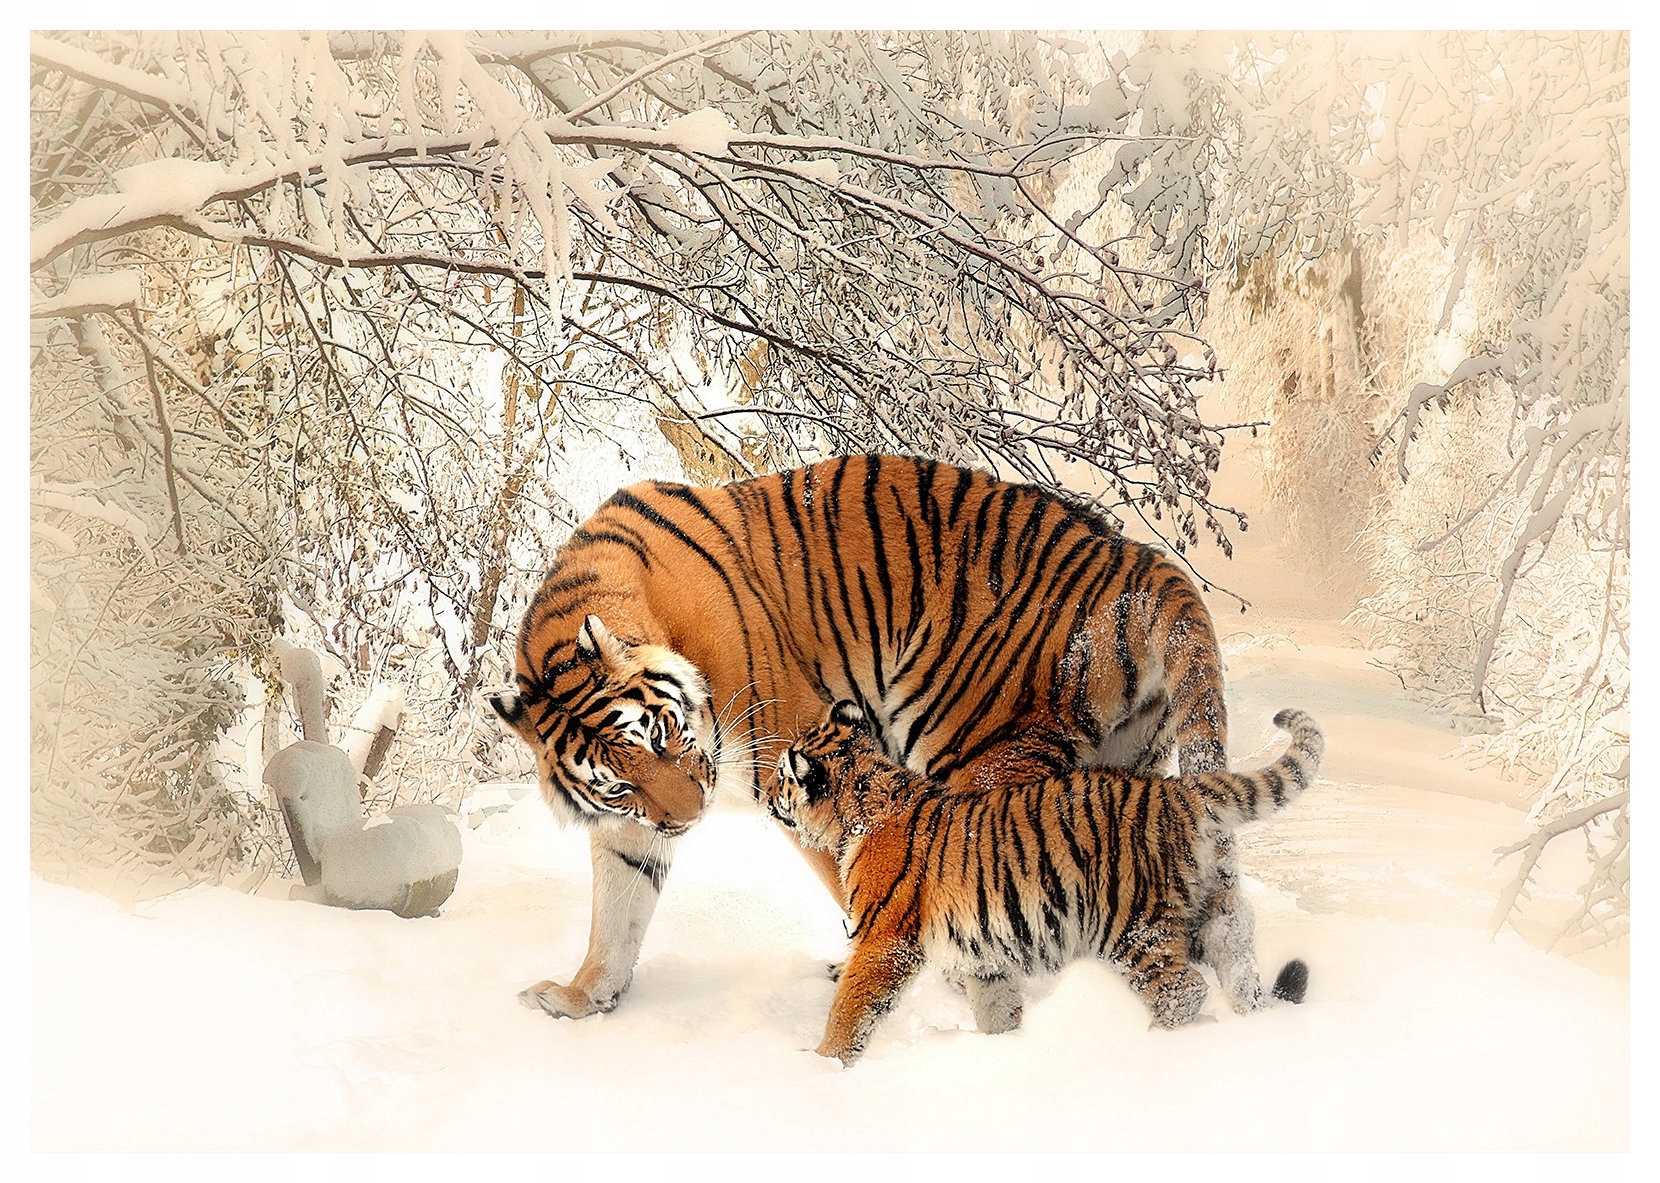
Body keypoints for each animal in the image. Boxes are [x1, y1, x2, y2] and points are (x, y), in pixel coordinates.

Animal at [489, 453, 1245, 1025]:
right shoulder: (632, 823)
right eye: (619, 782)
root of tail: (1134, 557)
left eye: (665, 735)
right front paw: (582, 997)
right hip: (1124, 767)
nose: (690, 817)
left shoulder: (796, 758)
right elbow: (616, 910)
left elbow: (857, 881)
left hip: (975, 749)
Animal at [765, 700, 1324, 1065]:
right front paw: (1003, 1051)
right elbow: (996, 1008)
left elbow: (850, 1009)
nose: (765, 792)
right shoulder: (982, 955)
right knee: (1240, 969)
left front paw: (819, 1065)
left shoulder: (883, 940)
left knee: (1182, 991)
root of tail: (1176, 791)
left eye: (782, 776)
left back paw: (1150, 1045)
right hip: (1212, 914)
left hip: (1133, 926)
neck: (862, 805)